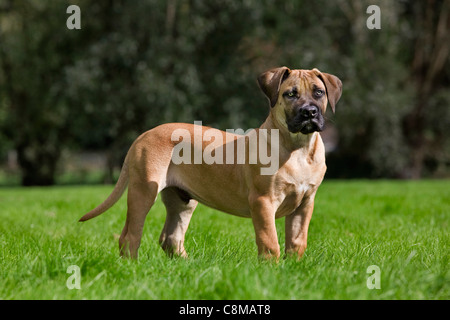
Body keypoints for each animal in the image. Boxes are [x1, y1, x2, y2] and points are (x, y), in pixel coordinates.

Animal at [80, 67, 342, 260]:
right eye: (290, 94)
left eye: (319, 92)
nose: (309, 112)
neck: (298, 148)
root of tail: (143, 135)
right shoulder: (263, 201)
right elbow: (270, 241)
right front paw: (272, 270)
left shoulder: (305, 203)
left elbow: (297, 241)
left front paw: (293, 268)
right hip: (143, 190)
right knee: (130, 236)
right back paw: (133, 267)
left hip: (182, 201)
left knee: (171, 238)